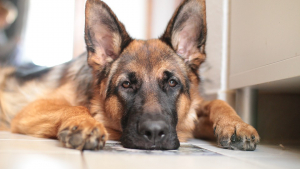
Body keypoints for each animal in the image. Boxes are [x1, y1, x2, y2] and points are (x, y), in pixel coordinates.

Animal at [0, 0, 258, 151]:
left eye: (172, 82)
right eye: (126, 84)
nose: (154, 133)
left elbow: (217, 101)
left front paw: (236, 124)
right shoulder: (30, 110)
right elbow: (75, 107)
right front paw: (84, 121)